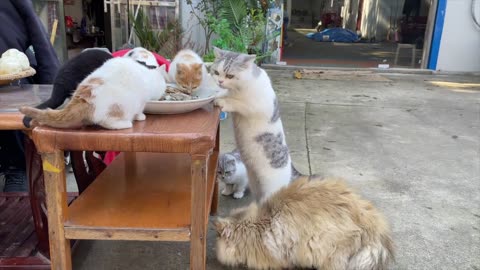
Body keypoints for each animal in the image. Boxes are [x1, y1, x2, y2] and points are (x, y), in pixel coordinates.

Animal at [19, 47, 167, 130]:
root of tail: (82, 99)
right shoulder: (141, 101)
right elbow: (139, 111)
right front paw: (140, 116)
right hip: (121, 107)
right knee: (107, 122)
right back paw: (125, 124)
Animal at [212, 47, 302, 202]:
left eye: (230, 75)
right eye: (217, 72)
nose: (220, 81)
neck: (239, 89)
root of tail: (290, 168)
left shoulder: (253, 106)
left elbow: (236, 102)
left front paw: (221, 101)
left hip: (270, 188)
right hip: (255, 183)